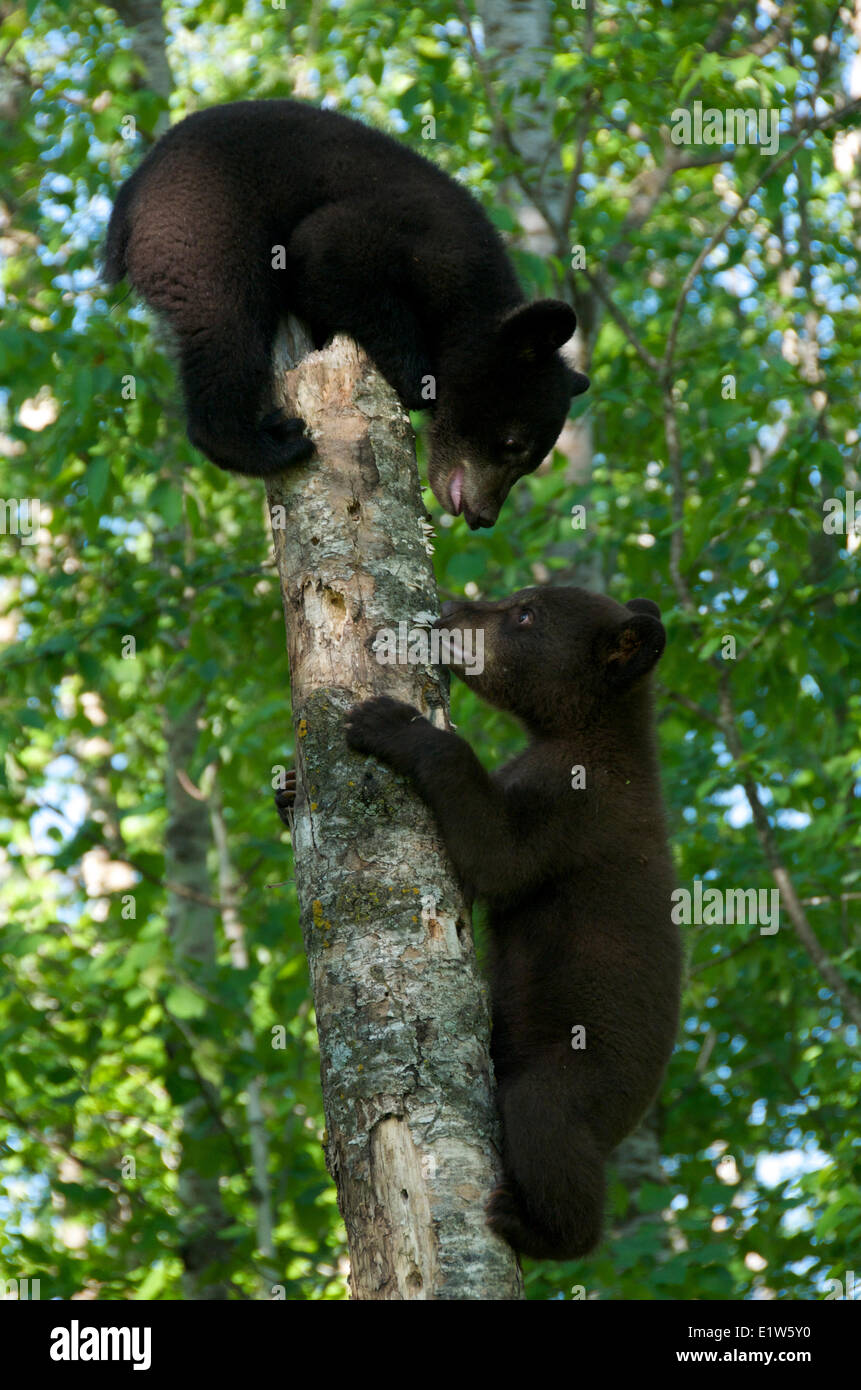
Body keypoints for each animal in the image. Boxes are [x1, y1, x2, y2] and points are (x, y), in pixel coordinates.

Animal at [104, 99, 589, 529]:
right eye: (512, 443)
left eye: (530, 461)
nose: (483, 517)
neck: (472, 292)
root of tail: (128, 198)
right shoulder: (412, 235)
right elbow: (324, 254)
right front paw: (419, 379)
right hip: (204, 225)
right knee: (228, 323)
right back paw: (266, 444)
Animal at [341, 585, 682, 1261]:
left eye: (524, 614)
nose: (447, 611)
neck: (586, 735)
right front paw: (288, 791)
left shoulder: (575, 807)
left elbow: (497, 852)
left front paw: (390, 724)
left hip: (582, 1078)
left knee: (544, 1119)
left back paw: (537, 1227)